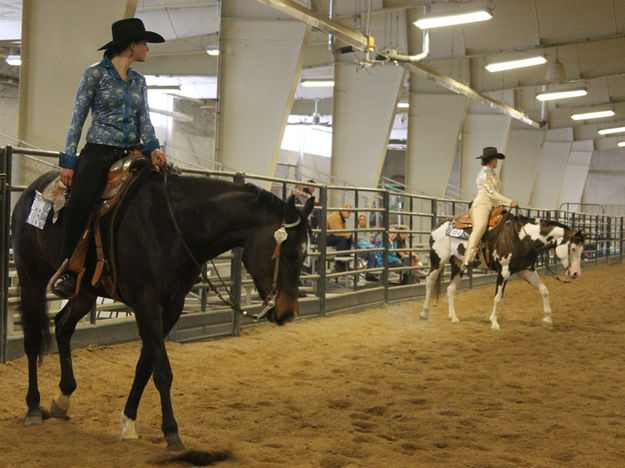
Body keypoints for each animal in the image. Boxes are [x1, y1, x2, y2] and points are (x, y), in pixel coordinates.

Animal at [13, 168, 316, 450]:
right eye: (290, 254)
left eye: (304, 254)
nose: (288, 312)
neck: (174, 225)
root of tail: (32, 189)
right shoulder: (147, 304)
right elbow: (162, 371)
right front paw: (172, 433)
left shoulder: (171, 307)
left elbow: (145, 366)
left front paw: (128, 422)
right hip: (31, 278)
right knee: (32, 339)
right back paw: (33, 407)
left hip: (85, 291)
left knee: (63, 326)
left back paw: (62, 399)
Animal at [420, 212, 584, 330]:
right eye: (573, 248)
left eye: (581, 249)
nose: (575, 273)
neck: (523, 237)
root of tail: (438, 225)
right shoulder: (504, 272)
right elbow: (498, 297)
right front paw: (494, 323)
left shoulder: (527, 270)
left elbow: (544, 290)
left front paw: (548, 320)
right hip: (438, 261)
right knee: (429, 281)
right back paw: (424, 313)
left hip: (458, 265)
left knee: (450, 289)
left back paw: (454, 318)